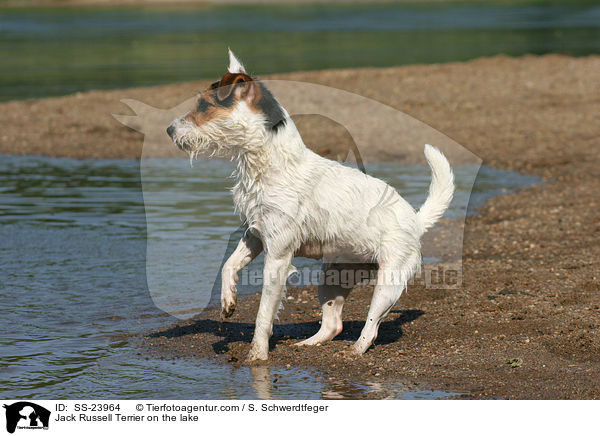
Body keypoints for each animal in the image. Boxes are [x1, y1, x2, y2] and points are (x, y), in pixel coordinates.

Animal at [166, 49, 452, 362]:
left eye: (204, 105)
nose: (168, 129)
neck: (269, 164)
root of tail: (415, 220)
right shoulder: (255, 235)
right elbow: (229, 265)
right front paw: (228, 300)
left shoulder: (278, 256)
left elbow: (263, 314)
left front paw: (257, 355)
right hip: (332, 277)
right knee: (333, 324)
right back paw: (308, 343)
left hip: (388, 283)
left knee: (372, 326)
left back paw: (355, 351)